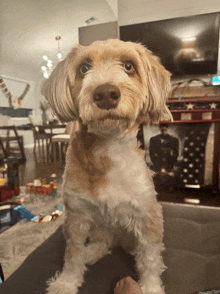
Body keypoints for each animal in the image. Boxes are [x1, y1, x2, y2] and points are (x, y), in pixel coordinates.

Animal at [40, 39, 172, 294]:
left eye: (129, 66)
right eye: (84, 68)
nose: (105, 94)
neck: (107, 147)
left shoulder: (147, 216)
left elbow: (149, 259)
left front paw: (151, 286)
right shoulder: (76, 218)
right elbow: (73, 254)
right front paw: (67, 282)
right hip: (97, 227)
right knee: (101, 242)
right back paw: (91, 252)